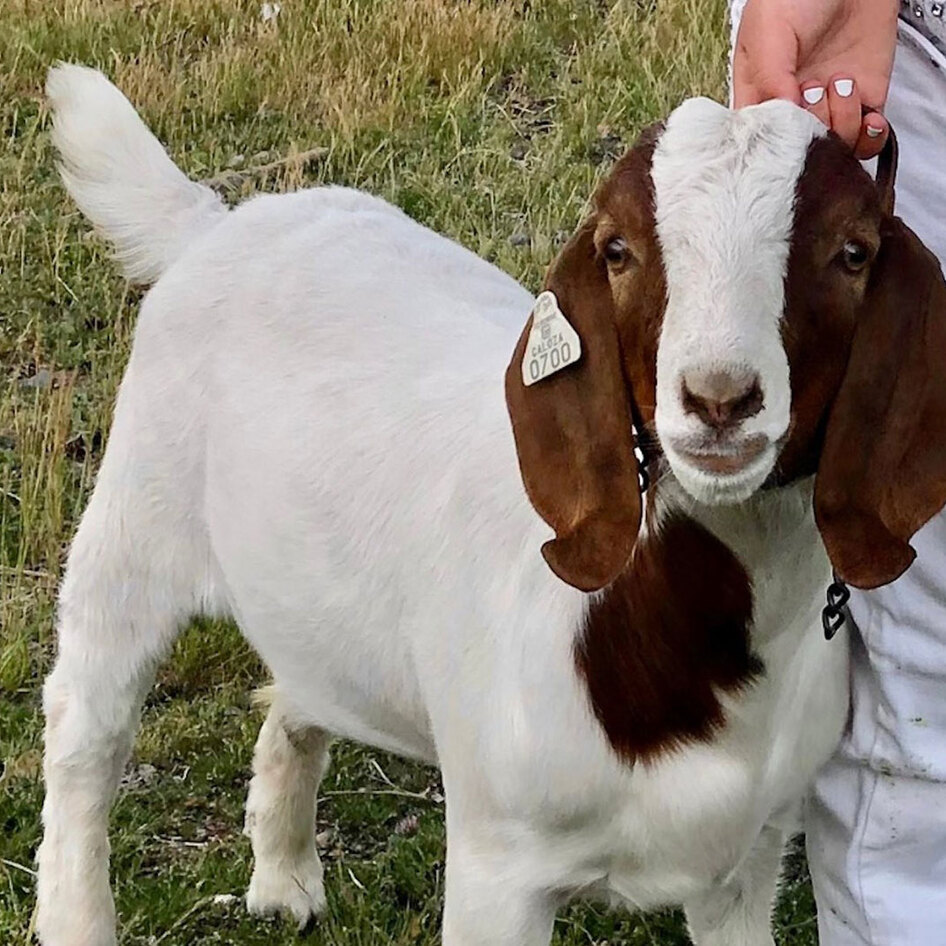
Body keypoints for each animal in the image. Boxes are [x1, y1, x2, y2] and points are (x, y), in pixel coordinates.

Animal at [37, 63, 946, 946]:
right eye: (617, 250)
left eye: (853, 252)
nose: (720, 399)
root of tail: (214, 225)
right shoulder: (499, 865)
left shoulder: (749, 861)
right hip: (137, 517)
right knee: (86, 726)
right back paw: (80, 918)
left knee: (300, 689)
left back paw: (284, 878)